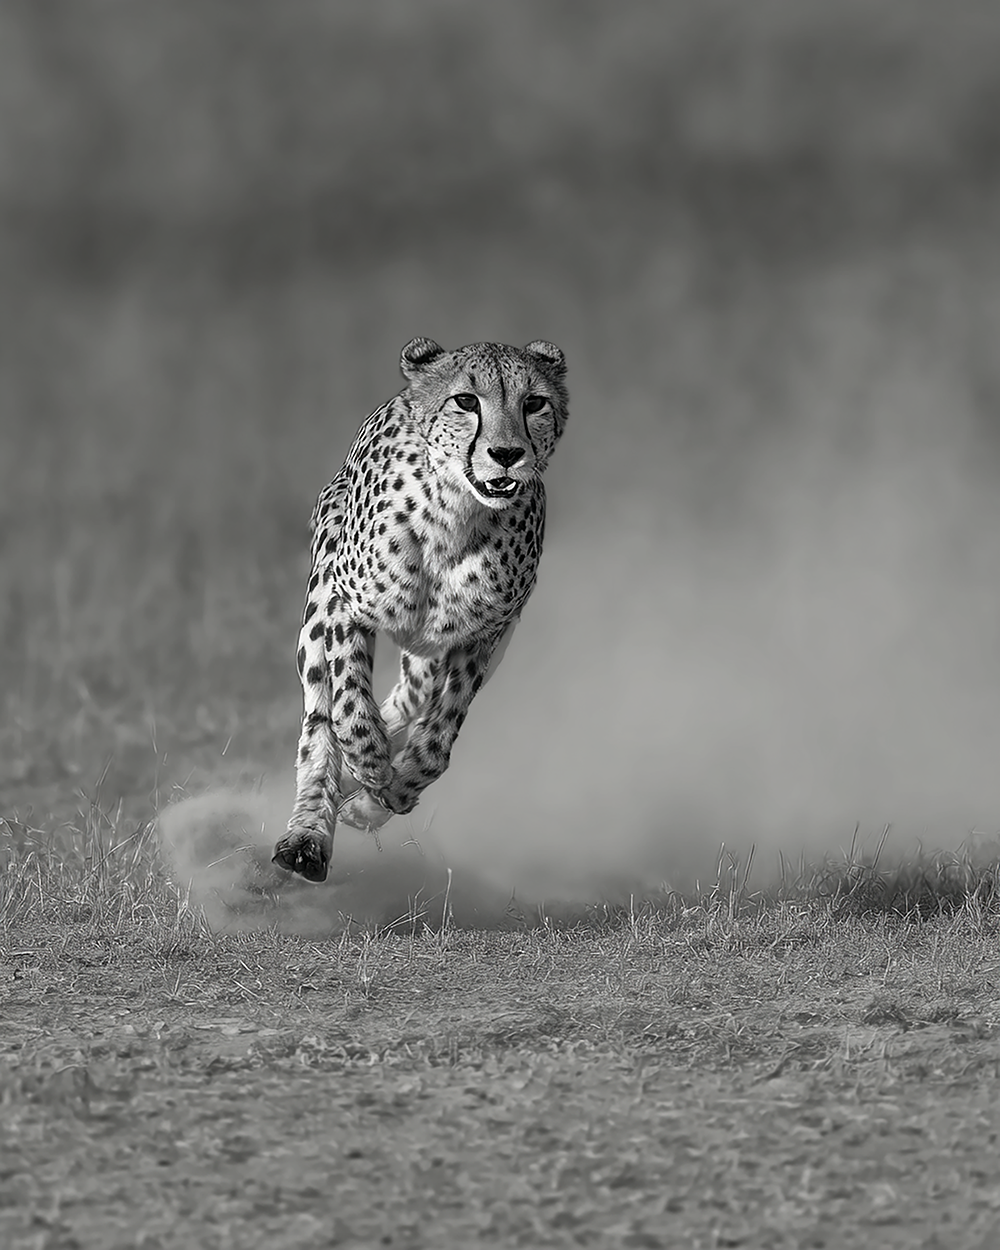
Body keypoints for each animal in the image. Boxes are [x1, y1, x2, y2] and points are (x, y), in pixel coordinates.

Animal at [271, 336, 568, 882]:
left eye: (534, 403)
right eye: (466, 401)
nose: (506, 454)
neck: (458, 516)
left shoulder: (483, 637)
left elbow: (437, 739)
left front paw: (386, 792)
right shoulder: (342, 601)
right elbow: (347, 703)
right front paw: (368, 760)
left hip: (428, 655)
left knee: (407, 701)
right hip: (319, 608)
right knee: (318, 724)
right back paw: (308, 836)